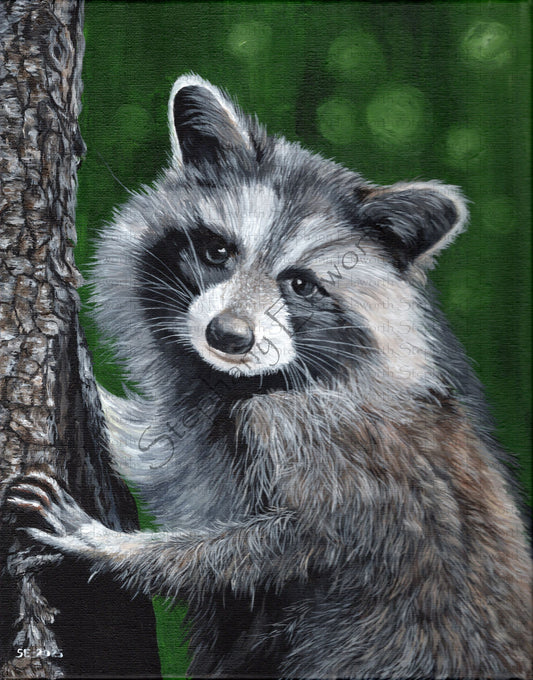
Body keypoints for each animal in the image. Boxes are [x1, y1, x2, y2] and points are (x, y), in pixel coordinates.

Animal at [8, 74, 532, 679]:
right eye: (217, 251)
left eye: (300, 284)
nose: (228, 337)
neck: (242, 382)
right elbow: (165, 454)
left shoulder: (327, 442)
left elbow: (285, 545)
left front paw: (109, 545)